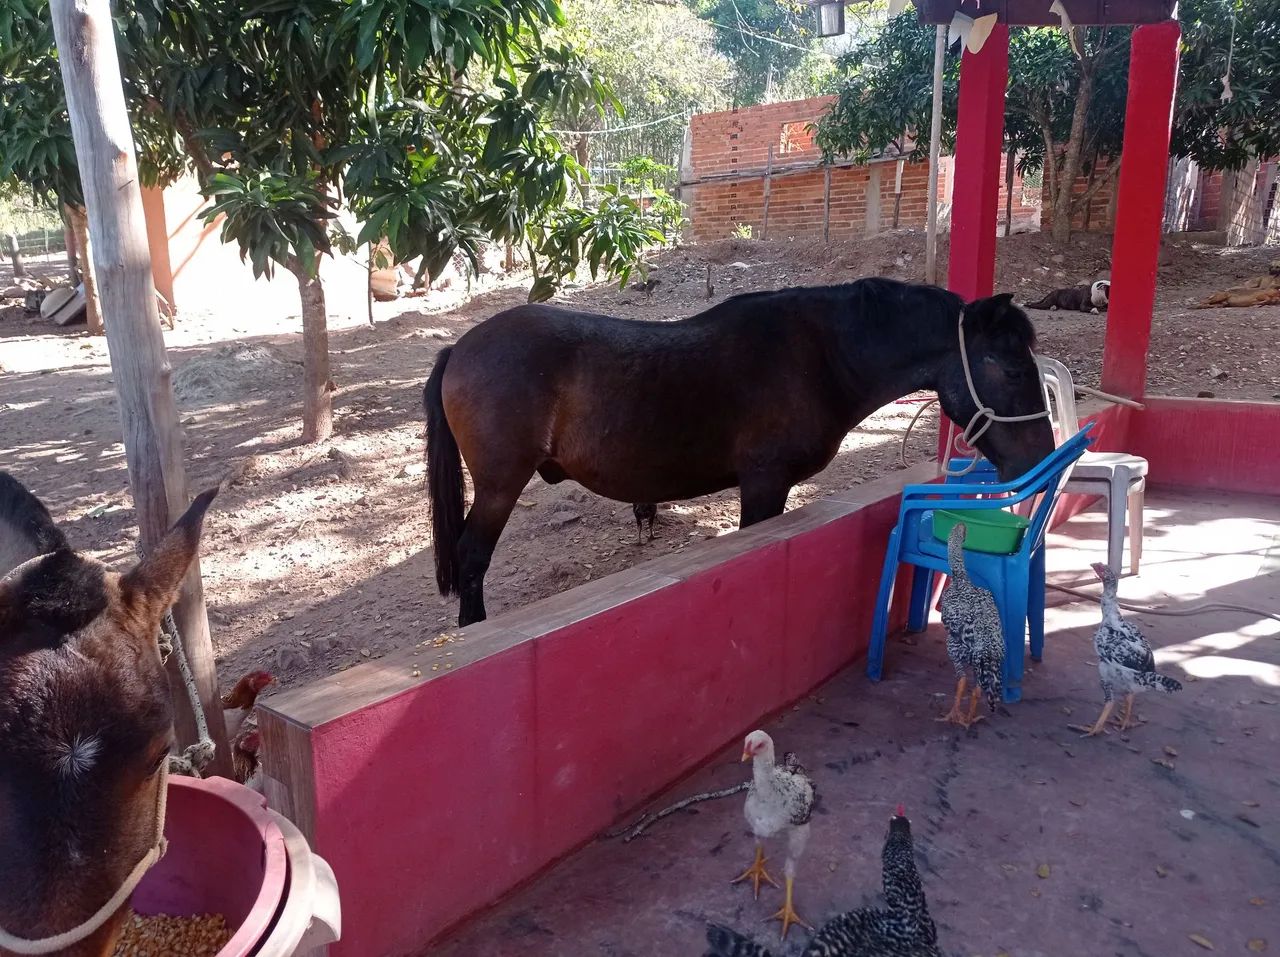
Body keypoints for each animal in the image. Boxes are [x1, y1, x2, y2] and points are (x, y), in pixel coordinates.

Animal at [423, 279, 1054, 627]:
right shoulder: (765, 483)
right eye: (1013, 369)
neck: (821, 357)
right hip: (500, 487)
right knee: (472, 558)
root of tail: (460, 348)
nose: (1039, 464)